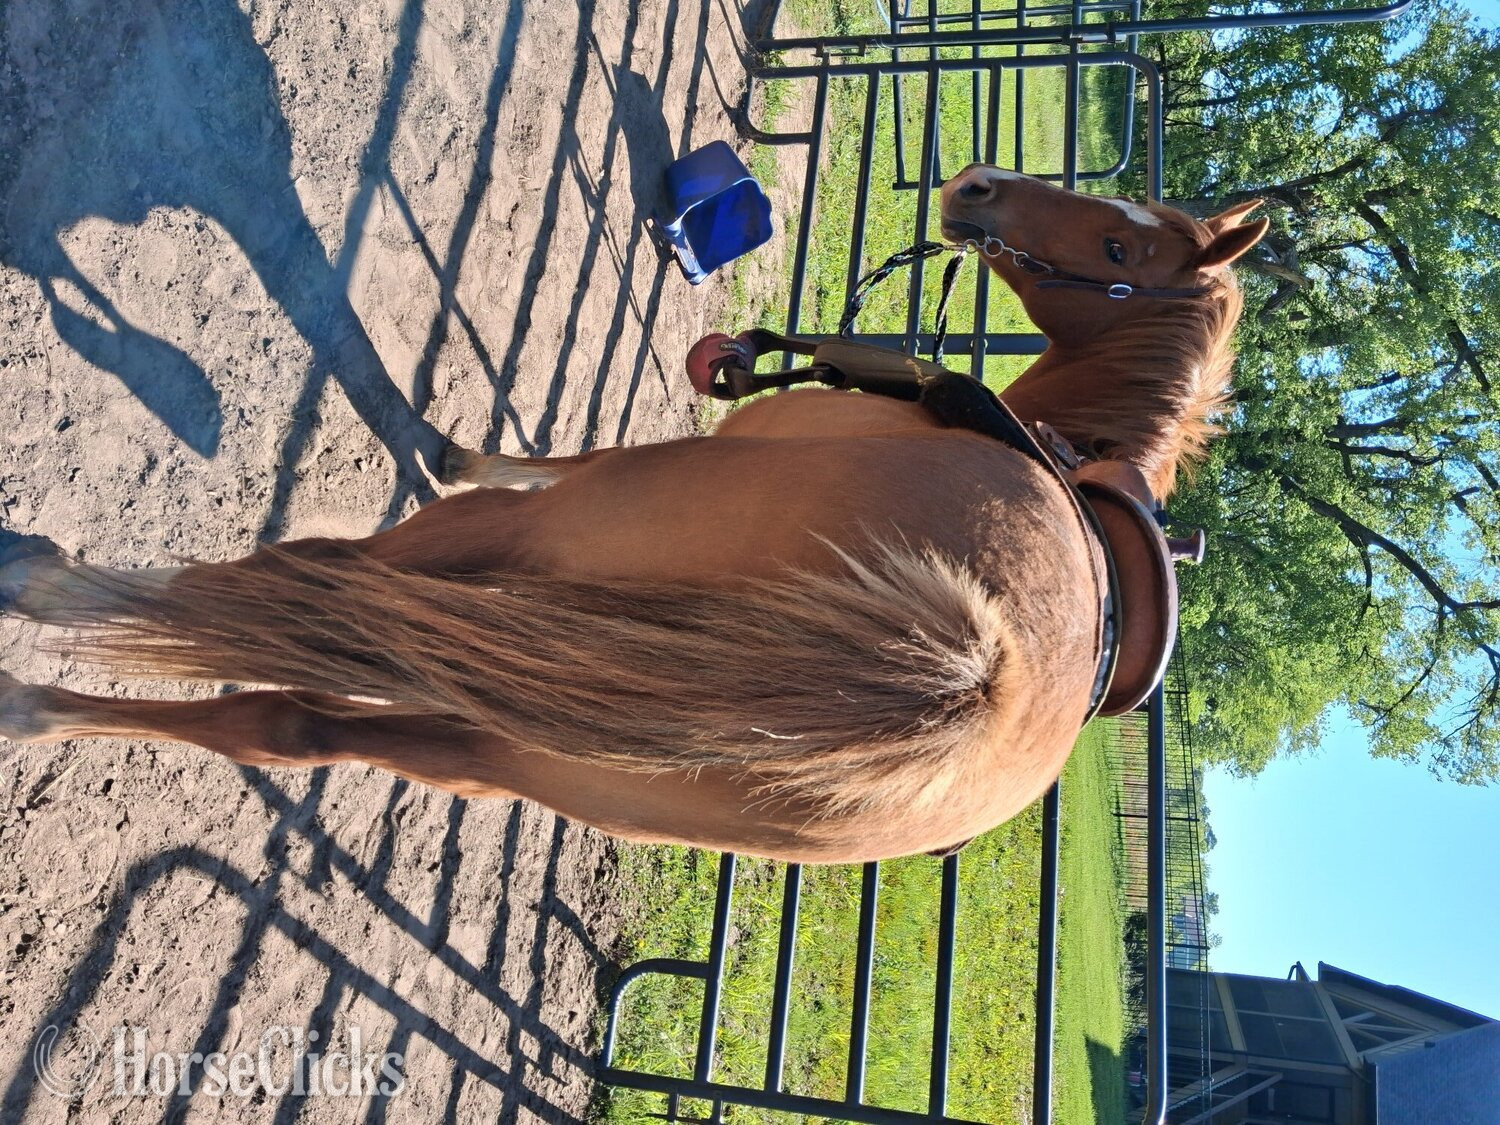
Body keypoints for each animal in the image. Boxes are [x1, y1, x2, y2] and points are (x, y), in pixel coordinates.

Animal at [0, 166, 1267, 863]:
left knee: (288, 592)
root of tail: (976, 674)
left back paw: (47, 597)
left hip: (543, 575)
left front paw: (457, 449)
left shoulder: (597, 486)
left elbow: (538, 461)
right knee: (290, 719)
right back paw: (41, 703)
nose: (975, 189)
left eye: (1120, 243)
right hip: (542, 753)